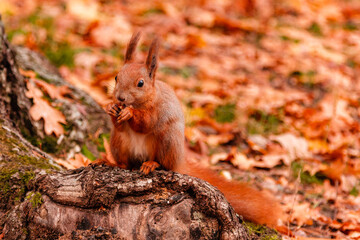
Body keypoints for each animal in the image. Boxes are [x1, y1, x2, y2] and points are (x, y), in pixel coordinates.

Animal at [100, 32, 282, 227]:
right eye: (116, 77)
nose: (120, 97)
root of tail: (180, 160)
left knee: (166, 165)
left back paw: (152, 164)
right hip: (118, 142)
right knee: (125, 163)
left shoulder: (158, 110)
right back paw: (112, 163)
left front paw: (129, 113)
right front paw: (110, 107)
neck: (148, 97)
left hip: (168, 141)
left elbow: (146, 123)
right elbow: (119, 123)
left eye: (140, 83)